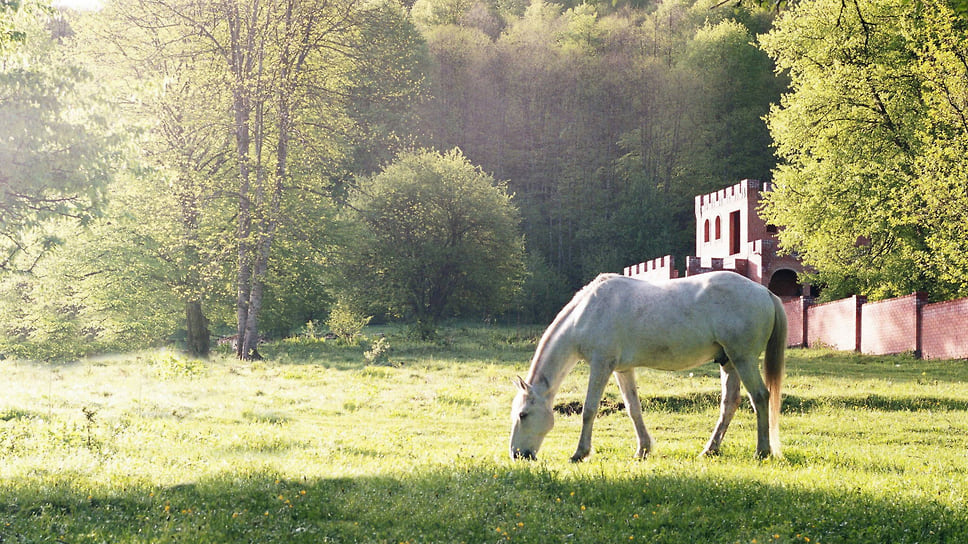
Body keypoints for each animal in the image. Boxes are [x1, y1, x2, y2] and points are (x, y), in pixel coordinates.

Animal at [506, 270, 788, 462]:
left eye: (523, 415)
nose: (518, 455)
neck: (587, 314)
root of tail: (764, 292)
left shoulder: (601, 364)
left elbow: (589, 409)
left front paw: (580, 453)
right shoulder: (622, 369)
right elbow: (634, 409)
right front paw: (643, 449)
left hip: (743, 358)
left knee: (760, 397)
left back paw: (762, 451)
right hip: (729, 361)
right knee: (730, 403)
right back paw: (710, 450)